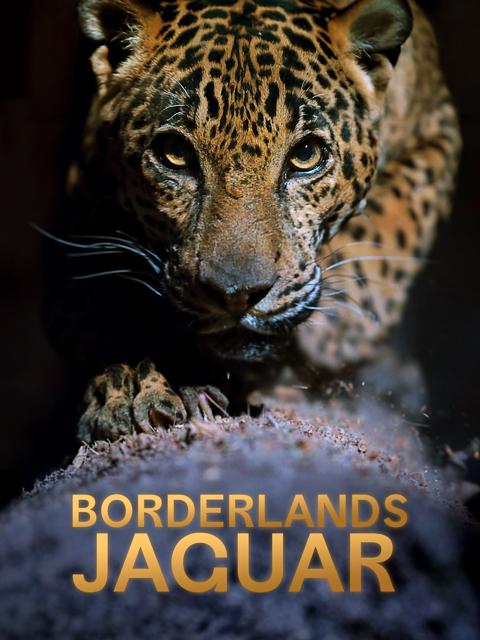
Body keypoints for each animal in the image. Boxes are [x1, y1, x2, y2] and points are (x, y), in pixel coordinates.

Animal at [45, 0, 461, 443]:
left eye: (307, 155)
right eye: (175, 153)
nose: (236, 295)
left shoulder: (438, 130)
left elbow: (390, 224)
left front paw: (338, 328)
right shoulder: (78, 209)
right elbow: (98, 307)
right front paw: (133, 387)